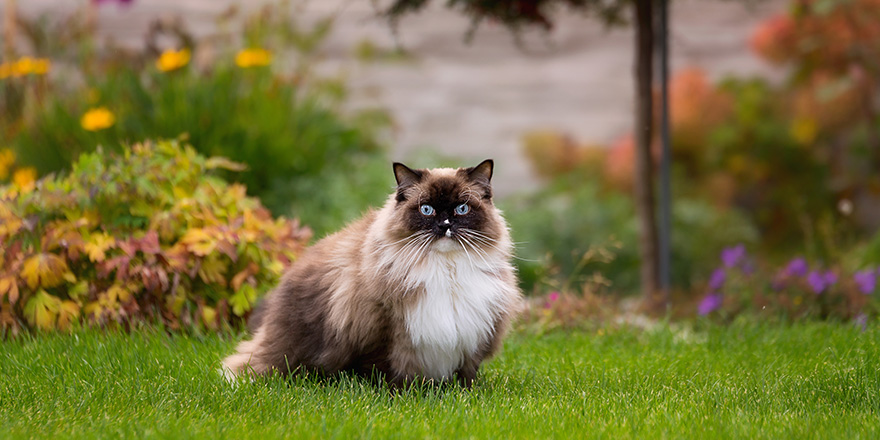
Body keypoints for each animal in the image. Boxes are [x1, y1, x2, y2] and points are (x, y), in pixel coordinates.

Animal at [222, 160, 524, 386]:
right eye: (426, 209)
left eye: (462, 209)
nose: (445, 225)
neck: (445, 270)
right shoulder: (383, 331)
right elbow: (385, 372)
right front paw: (399, 394)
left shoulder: (473, 338)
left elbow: (466, 377)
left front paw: (461, 393)